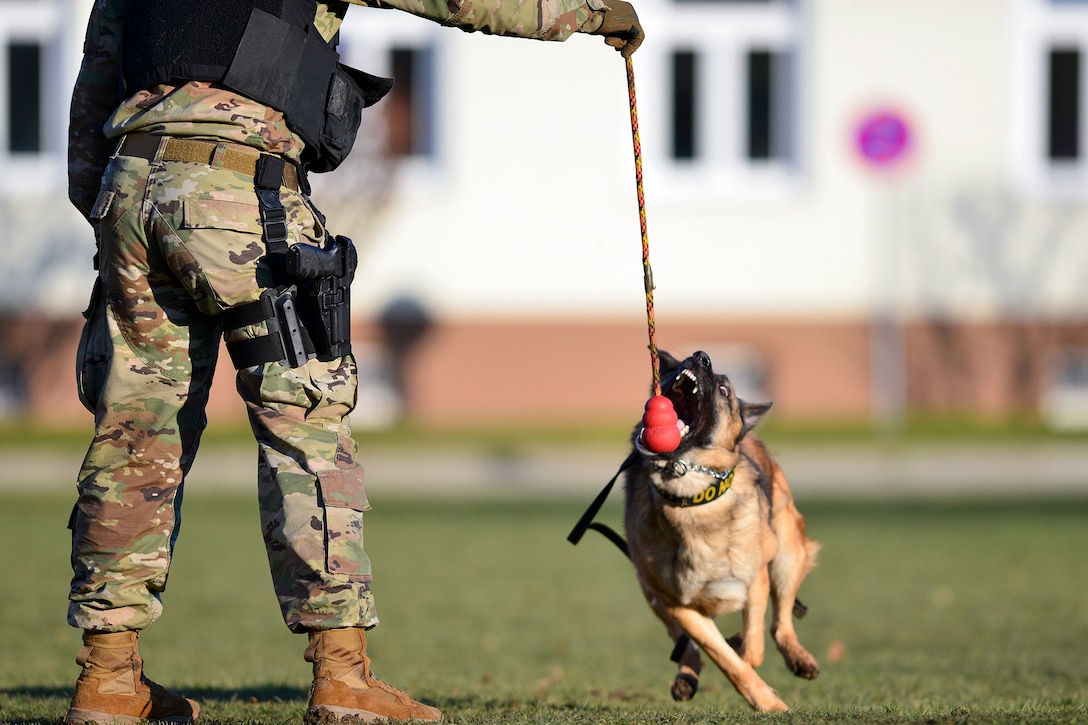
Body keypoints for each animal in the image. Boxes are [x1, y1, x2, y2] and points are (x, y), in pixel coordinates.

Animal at [622, 350, 818, 709]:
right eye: (674, 367)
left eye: (725, 390)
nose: (701, 356)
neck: (690, 493)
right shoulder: (678, 603)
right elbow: (726, 658)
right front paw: (765, 701)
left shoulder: (756, 579)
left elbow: (752, 650)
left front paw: (748, 657)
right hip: (653, 594)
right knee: (686, 644)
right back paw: (687, 676)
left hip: (787, 553)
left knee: (781, 622)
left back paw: (799, 658)